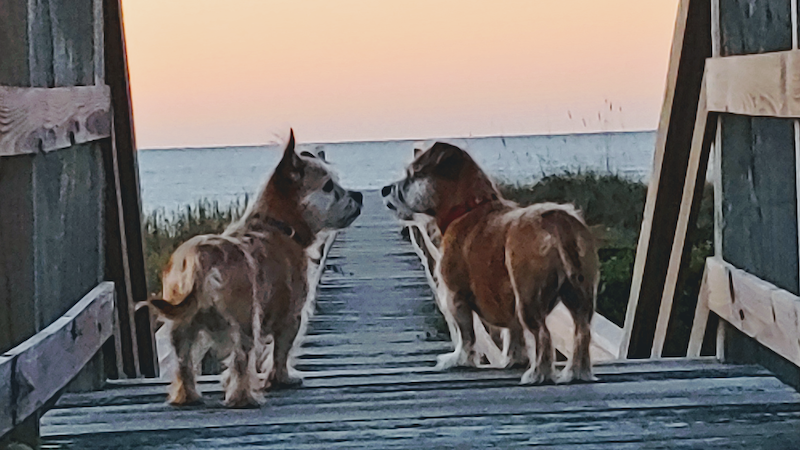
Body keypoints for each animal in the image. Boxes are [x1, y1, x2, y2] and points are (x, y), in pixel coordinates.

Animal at [150, 131, 362, 408]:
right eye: (328, 186)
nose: (359, 195)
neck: (278, 226)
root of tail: (200, 258)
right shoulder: (292, 315)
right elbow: (281, 351)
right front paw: (282, 378)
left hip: (180, 327)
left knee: (184, 362)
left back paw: (188, 396)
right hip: (245, 320)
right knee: (242, 359)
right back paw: (244, 398)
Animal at [384, 143, 596, 384]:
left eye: (412, 175)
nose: (385, 189)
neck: (467, 208)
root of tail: (558, 221)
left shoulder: (456, 296)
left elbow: (466, 335)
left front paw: (459, 359)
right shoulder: (507, 301)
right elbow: (514, 333)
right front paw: (514, 358)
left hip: (528, 295)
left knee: (542, 334)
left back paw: (538, 374)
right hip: (580, 293)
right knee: (582, 331)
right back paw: (576, 372)